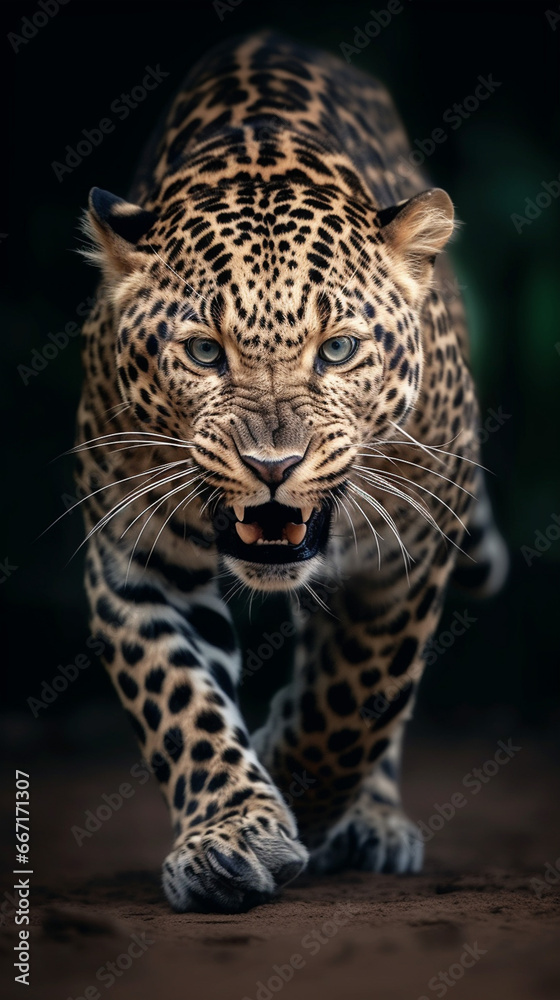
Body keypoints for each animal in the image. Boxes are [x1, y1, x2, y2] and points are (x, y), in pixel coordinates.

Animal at [75, 31, 507, 913]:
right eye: (204, 352)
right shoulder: (133, 557)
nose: (272, 465)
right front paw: (230, 837)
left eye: (336, 349)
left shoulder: (407, 553)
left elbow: (357, 695)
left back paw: (369, 820)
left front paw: (297, 780)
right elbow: (179, 701)